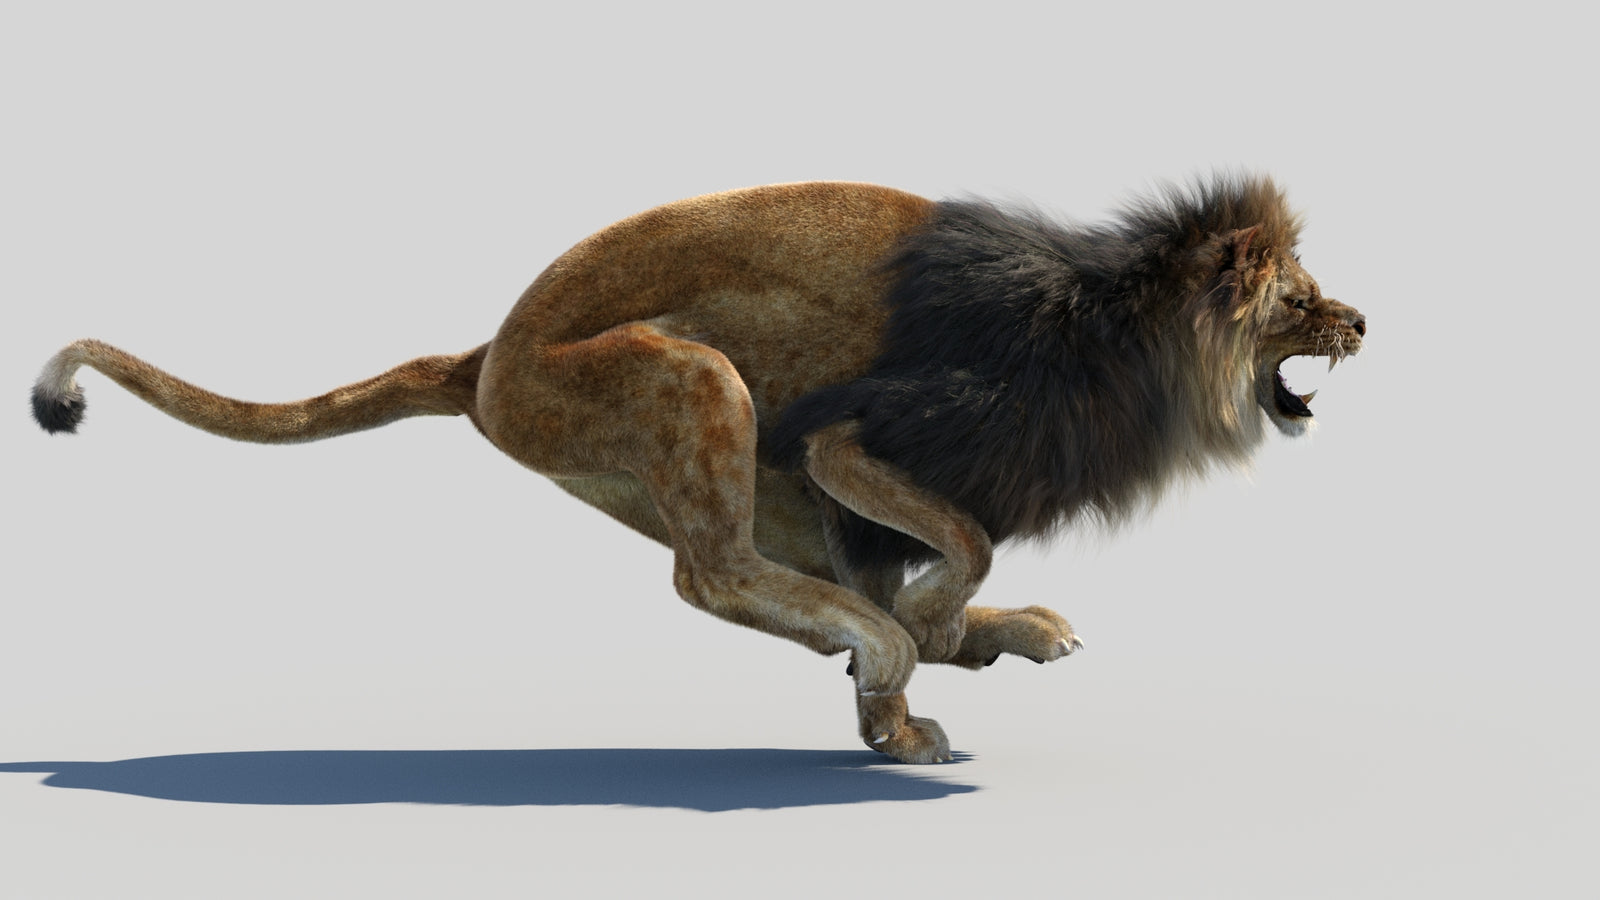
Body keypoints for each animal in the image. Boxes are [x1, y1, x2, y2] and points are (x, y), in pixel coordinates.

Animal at [31, 177, 1365, 764]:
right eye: (1299, 300)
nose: (1362, 321)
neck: (1121, 335)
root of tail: (484, 357)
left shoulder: (835, 483)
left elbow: (923, 564)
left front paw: (941, 664)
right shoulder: (850, 436)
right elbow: (961, 543)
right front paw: (926, 640)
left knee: (736, 574)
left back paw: (911, 666)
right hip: (696, 377)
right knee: (708, 575)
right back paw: (886, 655)